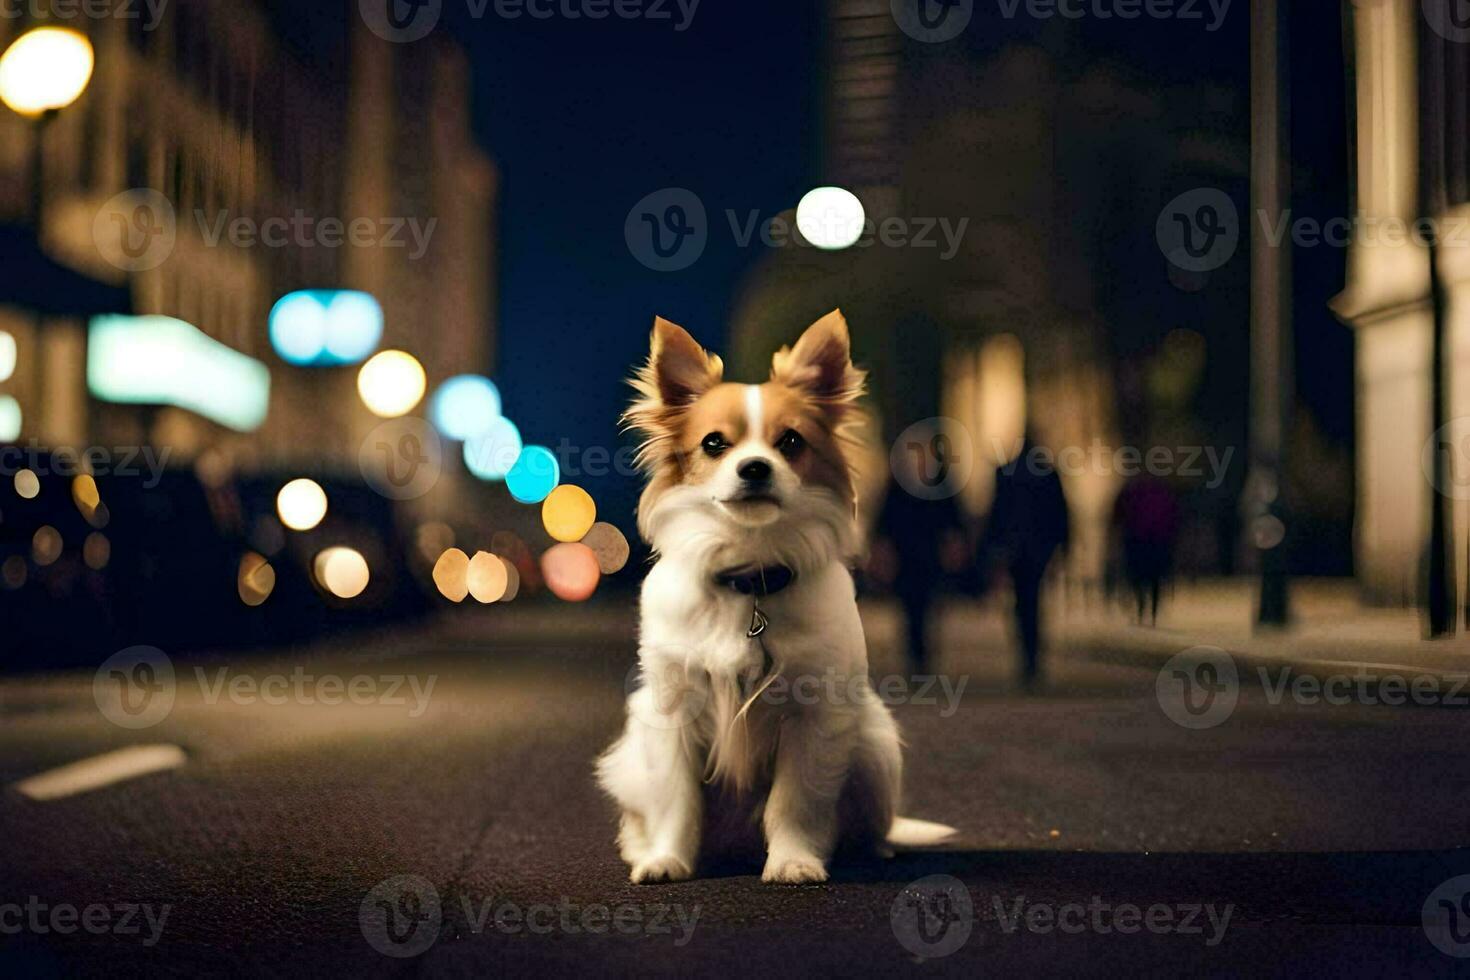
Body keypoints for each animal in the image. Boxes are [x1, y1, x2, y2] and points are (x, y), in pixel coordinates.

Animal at [590, 310, 958, 887]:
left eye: (790, 442)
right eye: (714, 444)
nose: (755, 467)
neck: (750, 577)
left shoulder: (815, 717)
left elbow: (796, 802)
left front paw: (794, 860)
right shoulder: (673, 712)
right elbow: (676, 800)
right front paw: (668, 858)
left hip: (873, 745)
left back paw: (873, 850)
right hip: (631, 750)